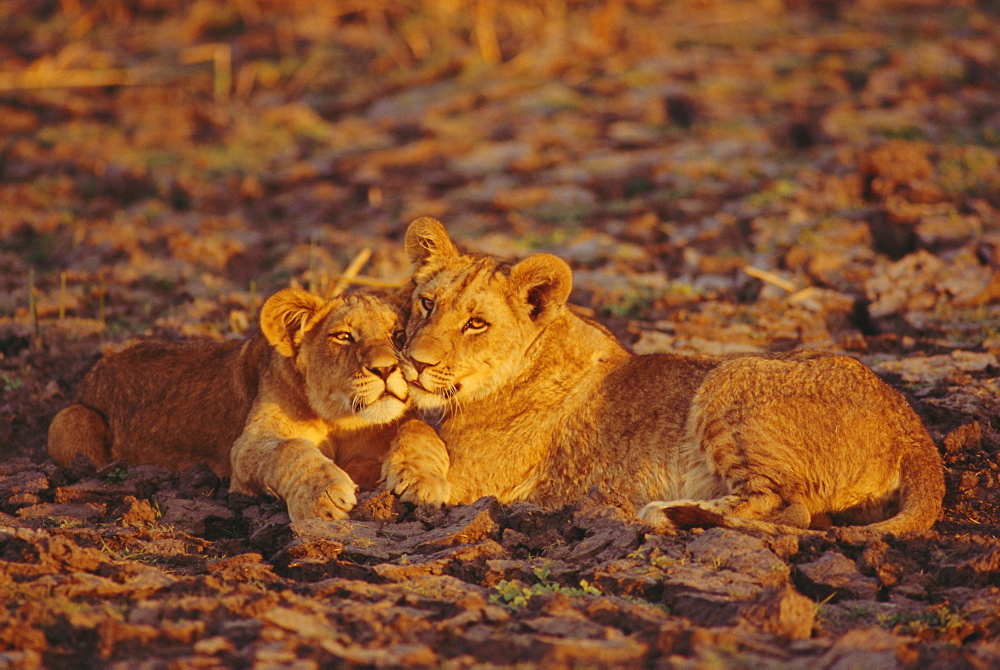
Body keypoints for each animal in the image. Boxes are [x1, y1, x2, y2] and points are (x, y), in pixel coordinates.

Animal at [49, 288, 410, 520]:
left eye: (399, 334)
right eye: (344, 337)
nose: (385, 368)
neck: (340, 419)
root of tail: (97, 367)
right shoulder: (246, 448)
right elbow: (291, 448)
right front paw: (326, 494)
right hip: (70, 419)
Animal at [382, 219, 944, 536]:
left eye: (476, 324)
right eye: (427, 304)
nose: (417, 362)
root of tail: (910, 424)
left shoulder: (481, 479)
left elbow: (409, 425)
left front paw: (414, 478)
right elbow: (409, 419)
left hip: (732, 377)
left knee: (791, 509)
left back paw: (665, 513)